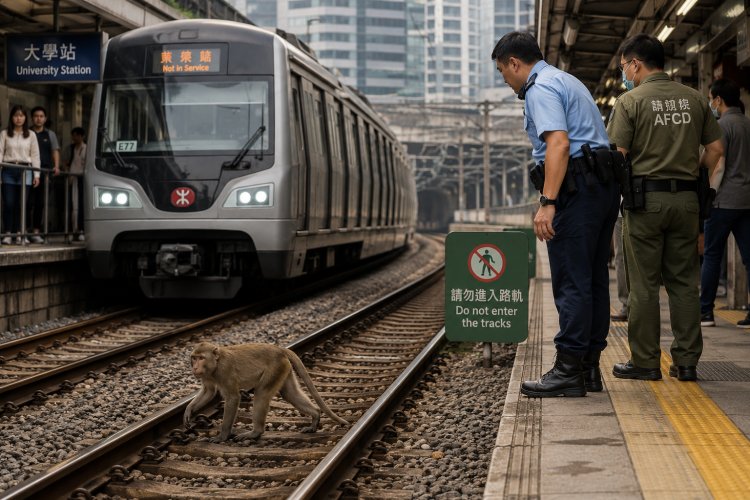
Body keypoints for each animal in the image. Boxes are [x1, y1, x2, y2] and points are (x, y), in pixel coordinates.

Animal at [184, 342, 348, 442]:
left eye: (201, 358)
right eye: (194, 358)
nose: (195, 367)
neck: (216, 365)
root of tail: (279, 349)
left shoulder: (225, 370)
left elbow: (233, 398)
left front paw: (222, 436)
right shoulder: (207, 375)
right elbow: (208, 391)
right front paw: (188, 411)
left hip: (274, 369)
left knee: (261, 395)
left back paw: (255, 432)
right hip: (284, 369)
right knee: (289, 393)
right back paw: (315, 416)